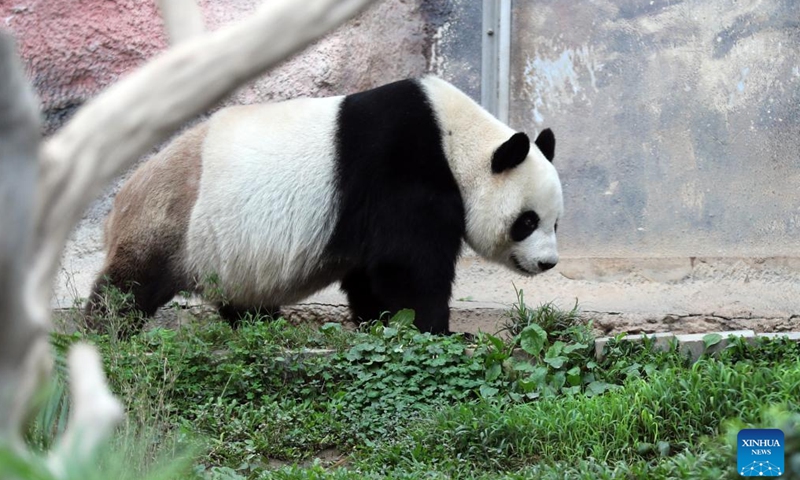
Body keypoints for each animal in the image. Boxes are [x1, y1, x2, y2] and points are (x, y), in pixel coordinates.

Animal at [85, 76, 563, 335]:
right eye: (526, 221)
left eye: (556, 223)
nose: (547, 264)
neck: (456, 140)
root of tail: (116, 205)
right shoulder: (402, 169)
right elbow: (408, 267)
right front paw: (434, 331)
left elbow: (371, 276)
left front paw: (382, 325)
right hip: (173, 221)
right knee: (129, 286)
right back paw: (105, 333)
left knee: (243, 301)